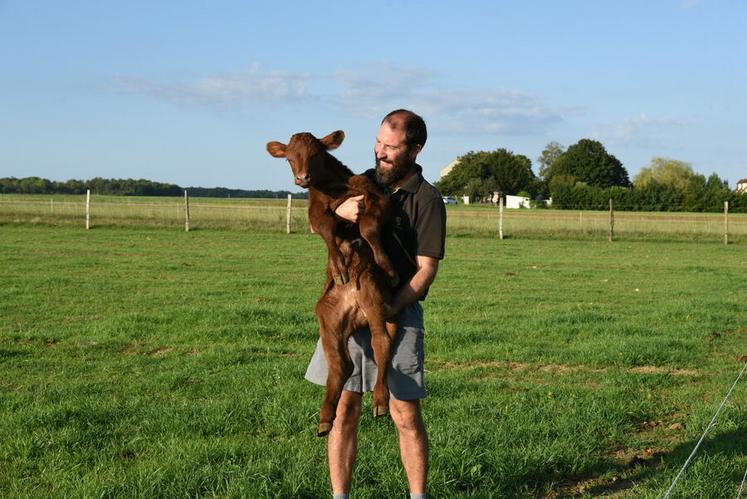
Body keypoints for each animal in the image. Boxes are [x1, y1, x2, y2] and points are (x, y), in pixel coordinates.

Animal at [268, 130, 400, 438]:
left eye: (316, 154)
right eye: (289, 158)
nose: (302, 178)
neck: (333, 189)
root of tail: (354, 307)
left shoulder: (376, 199)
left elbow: (368, 227)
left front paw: (387, 265)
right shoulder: (315, 211)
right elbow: (326, 228)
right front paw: (338, 264)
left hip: (372, 295)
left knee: (382, 343)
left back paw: (380, 400)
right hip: (328, 317)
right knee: (342, 365)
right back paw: (326, 417)